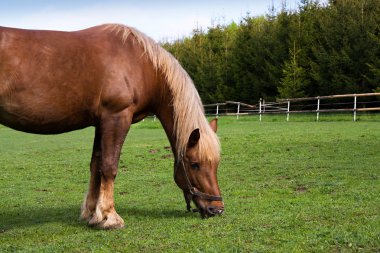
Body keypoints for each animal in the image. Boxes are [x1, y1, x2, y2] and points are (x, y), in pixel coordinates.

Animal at [0, 24, 224, 229]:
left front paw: (92, 213)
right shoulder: (116, 117)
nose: (217, 209)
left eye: (216, 163)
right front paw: (110, 217)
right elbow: (109, 167)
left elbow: (96, 166)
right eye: (195, 164)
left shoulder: (101, 123)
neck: (141, 63)